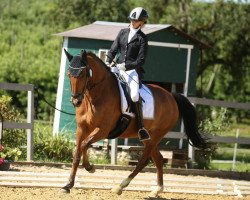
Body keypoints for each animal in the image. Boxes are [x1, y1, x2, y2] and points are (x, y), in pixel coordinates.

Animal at [61, 49, 207, 198]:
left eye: (83, 74)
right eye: (69, 74)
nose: (76, 101)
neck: (97, 94)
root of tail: (171, 96)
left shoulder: (103, 130)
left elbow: (84, 145)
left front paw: (90, 167)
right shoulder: (81, 129)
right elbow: (77, 153)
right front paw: (68, 185)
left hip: (156, 135)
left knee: (143, 161)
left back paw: (120, 186)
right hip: (149, 138)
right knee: (159, 159)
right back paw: (157, 190)